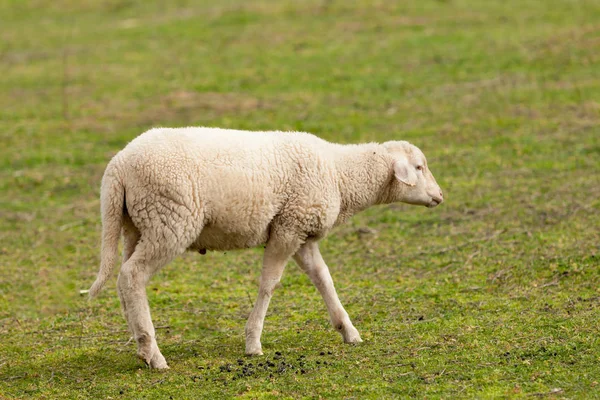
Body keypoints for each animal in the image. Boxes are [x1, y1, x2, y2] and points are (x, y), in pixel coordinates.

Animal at [89, 127, 446, 368]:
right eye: (419, 167)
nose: (440, 197)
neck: (340, 174)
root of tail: (118, 167)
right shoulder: (287, 228)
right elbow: (269, 284)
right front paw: (253, 341)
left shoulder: (302, 232)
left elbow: (324, 279)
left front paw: (348, 330)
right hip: (169, 222)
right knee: (133, 276)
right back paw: (154, 353)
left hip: (137, 225)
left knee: (123, 280)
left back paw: (140, 344)